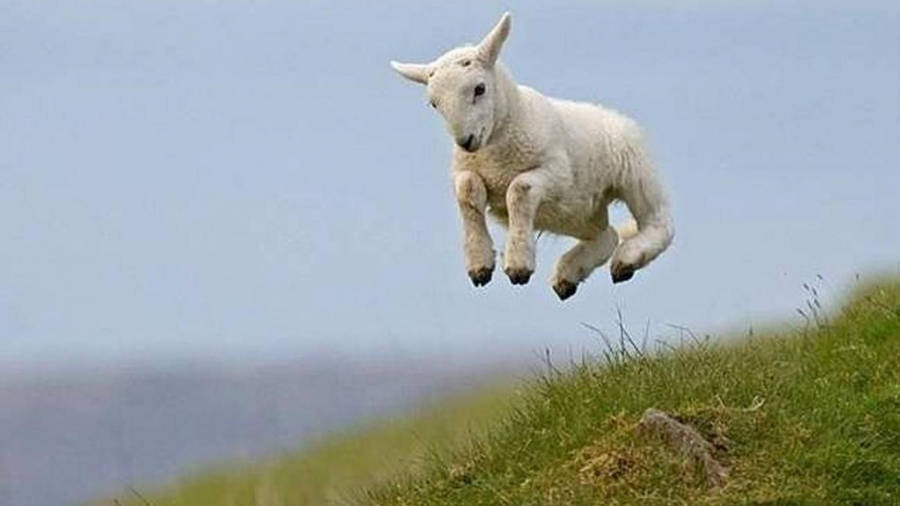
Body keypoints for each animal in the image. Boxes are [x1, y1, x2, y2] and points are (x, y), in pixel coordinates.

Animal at [390, 12, 674, 300]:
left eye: (480, 88)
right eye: (434, 103)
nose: (465, 141)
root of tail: (611, 115)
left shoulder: (557, 174)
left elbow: (519, 190)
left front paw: (518, 266)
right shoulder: (465, 170)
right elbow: (468, 191)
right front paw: (480, 266)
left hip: (633, 171)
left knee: (659, 222)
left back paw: (626, 260)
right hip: (575, 212)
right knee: (607, 235)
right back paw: (568, 276)